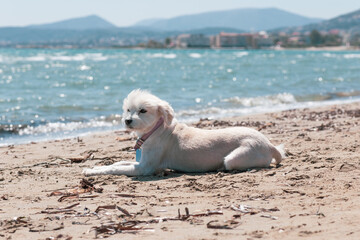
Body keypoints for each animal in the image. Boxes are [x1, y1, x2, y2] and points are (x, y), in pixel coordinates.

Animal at [83, 90, 286, 176]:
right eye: (128, 110)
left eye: (143, 111)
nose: (127, 121)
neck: (156, 131)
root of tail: (270, 145)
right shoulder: (141, 161)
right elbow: (118, 162)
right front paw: (94, 167)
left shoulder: (144, 168)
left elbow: (115, 168)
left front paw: (92, 172)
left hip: (235, 157)